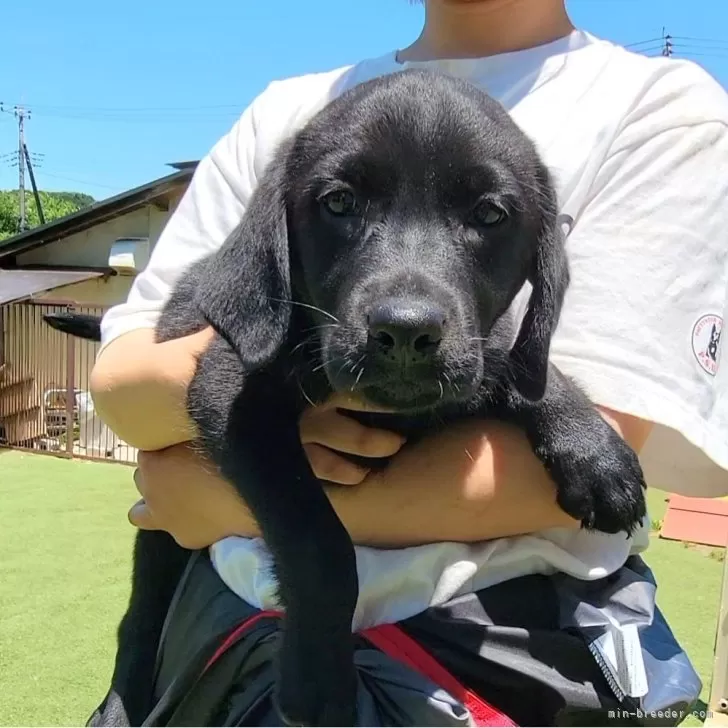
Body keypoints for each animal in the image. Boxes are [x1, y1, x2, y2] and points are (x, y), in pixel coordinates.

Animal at [45, 67, 644, 724]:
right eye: (338, 204)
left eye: (489, 214)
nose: (406, 332)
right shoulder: (230, 395)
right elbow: (319, 544)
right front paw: (317, 684)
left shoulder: (476, 358)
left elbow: (519, 358)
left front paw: (593, 451)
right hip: (161, 536)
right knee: (139, 621)